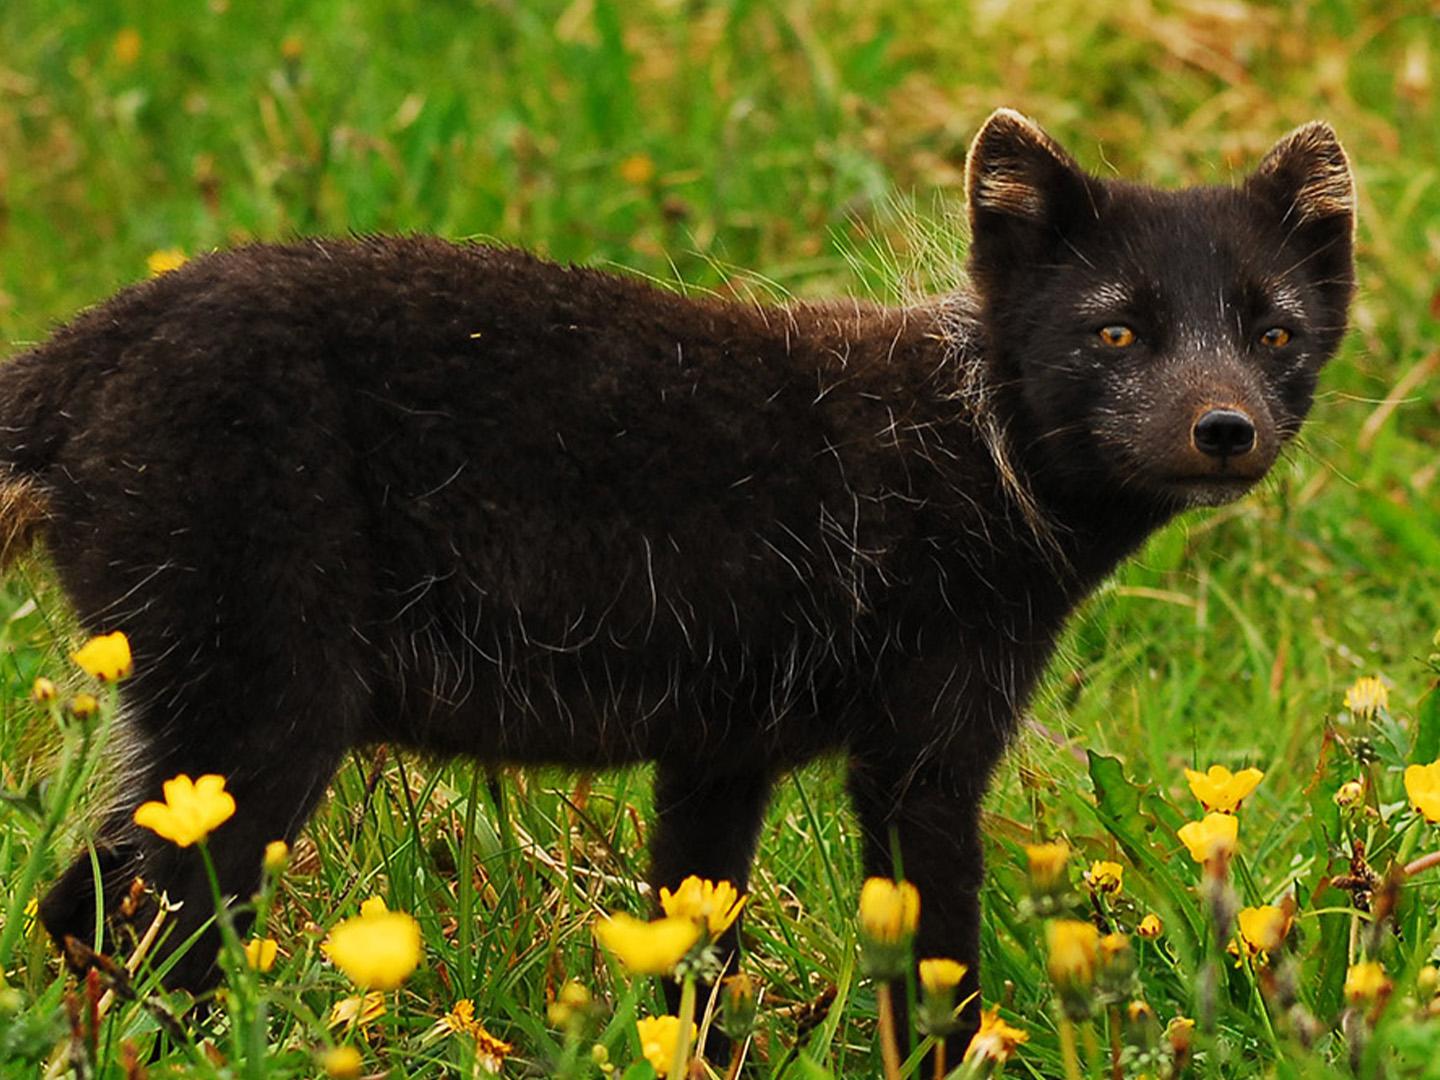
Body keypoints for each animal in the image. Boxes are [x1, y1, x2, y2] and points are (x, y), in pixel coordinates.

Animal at [2, 110, 1347, 1025]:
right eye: (1114, 330)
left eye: (1275, 331)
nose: (1225, 429)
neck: (973, 444)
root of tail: (89, 343)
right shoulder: (922, 750)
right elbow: (935, 964)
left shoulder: (719, 748)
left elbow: (695, 962)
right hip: (262, 713)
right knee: (153, 931)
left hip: (193, 722)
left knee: (80, 908)